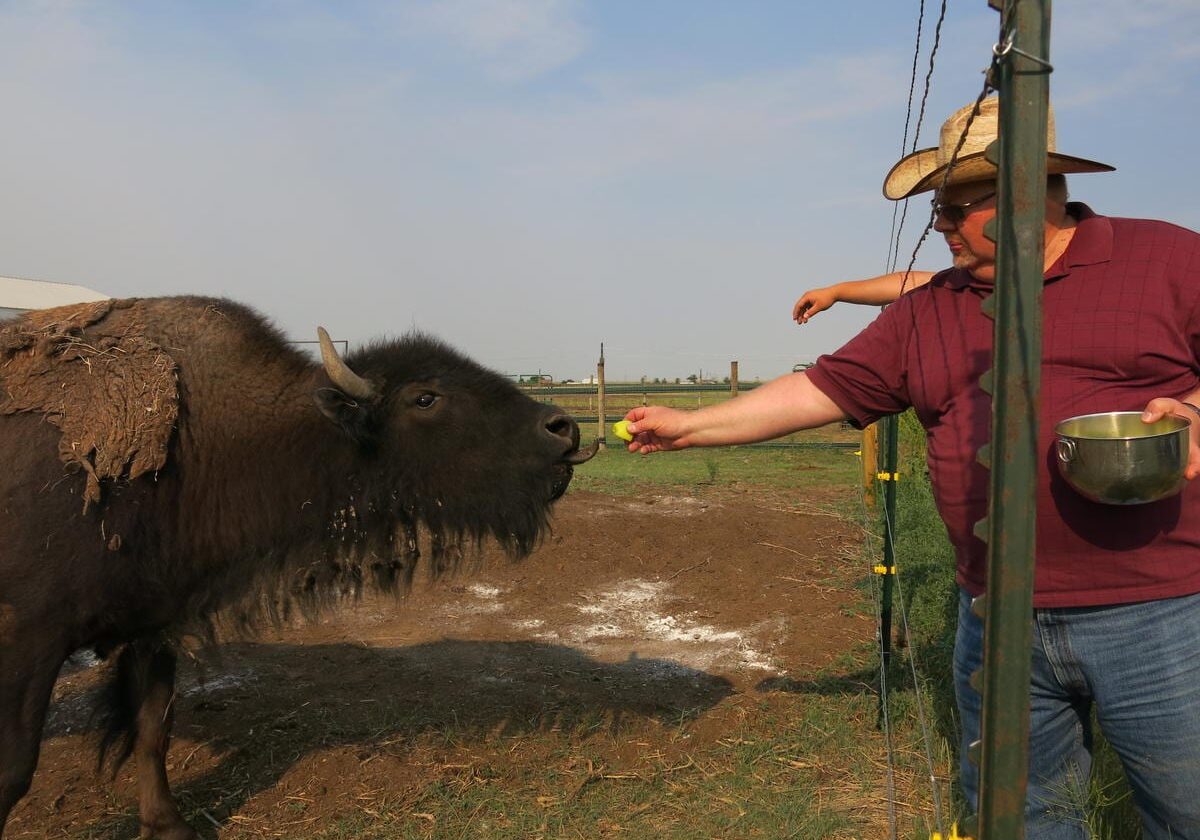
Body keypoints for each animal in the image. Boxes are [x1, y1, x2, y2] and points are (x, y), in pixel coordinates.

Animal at [0, 296, 596, 839]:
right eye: (425, 397)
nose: (563, 428)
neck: (204, 440)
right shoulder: (31, 636)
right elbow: (17, 768)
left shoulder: (157, 620)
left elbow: (153, 729)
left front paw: (169, 827)